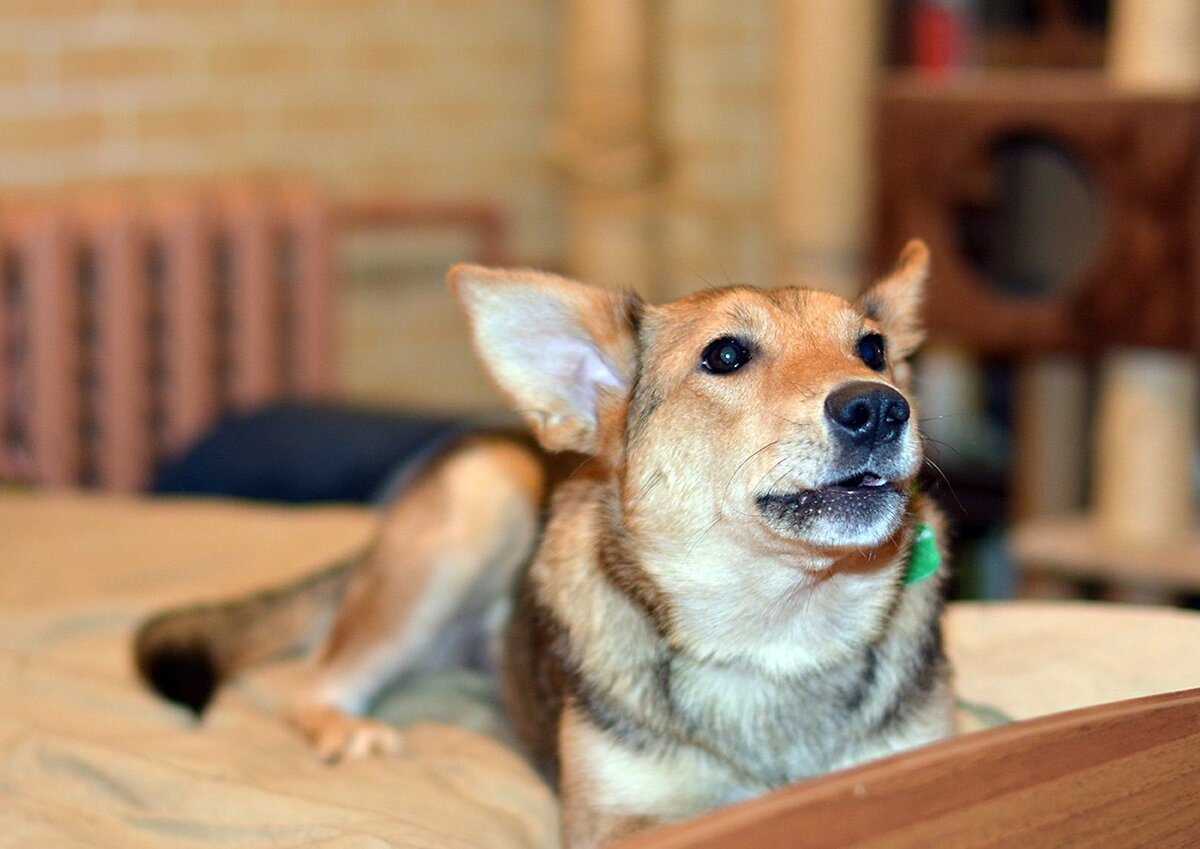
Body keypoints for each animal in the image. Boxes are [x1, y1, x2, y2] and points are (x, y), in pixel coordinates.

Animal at [133, 241, 955, 849]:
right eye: (725, 356)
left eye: (873, 349)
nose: (880, 406)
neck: (779, 635)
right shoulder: (616, 823)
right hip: (479, 505)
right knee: (311, 682)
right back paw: (348, 730)